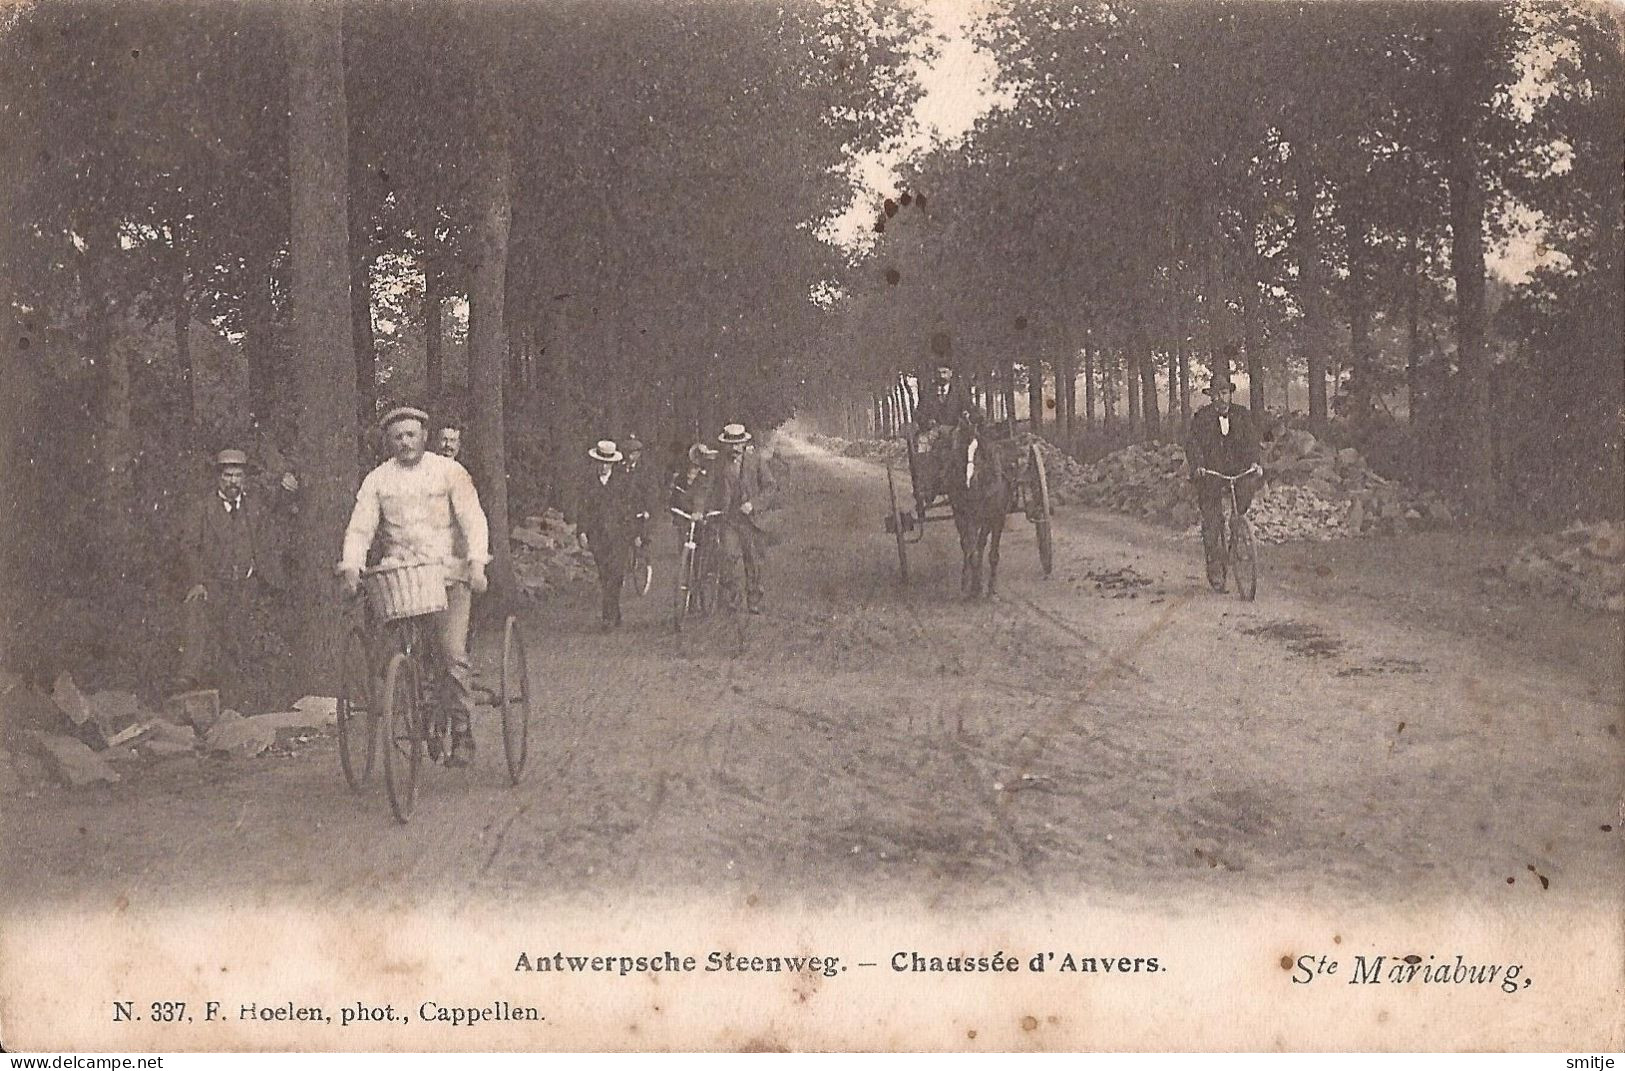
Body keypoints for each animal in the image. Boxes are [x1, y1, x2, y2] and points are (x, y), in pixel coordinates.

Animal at [942, 419, 1014, 604]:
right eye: (961, 449)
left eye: (980, 452)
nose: (969, 480)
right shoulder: (965, 515)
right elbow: (970, 548)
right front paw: (972, 587)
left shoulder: (997, 516)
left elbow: (991, 553)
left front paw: (991, 591)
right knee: (968, 545)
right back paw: (969, 581)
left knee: (980, 544)